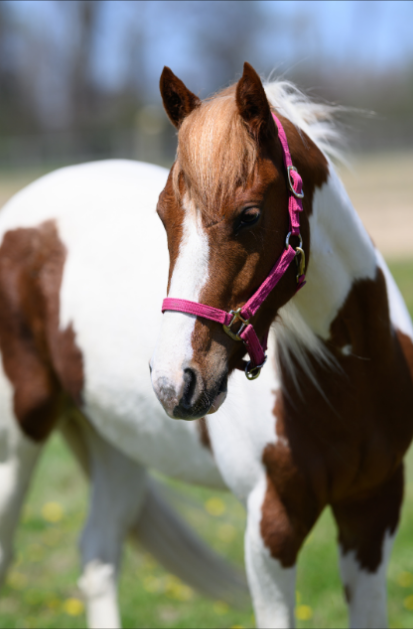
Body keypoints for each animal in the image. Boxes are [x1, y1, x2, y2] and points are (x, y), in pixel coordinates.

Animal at [150, 62, 413, 628]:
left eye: (249, 215)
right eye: (162, 215)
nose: (171, 382)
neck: (350, 378)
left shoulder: (374, 509)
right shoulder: (270, 529)